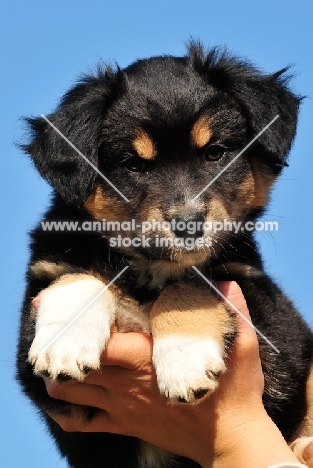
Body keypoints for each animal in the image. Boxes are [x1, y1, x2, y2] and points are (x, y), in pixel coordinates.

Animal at [16, 41, 312, 468]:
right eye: (134, 164)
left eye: (215, 153)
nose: (189, 224)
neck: (148, 269)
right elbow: (77, 275)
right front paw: (64, 347)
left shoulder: (271, 319)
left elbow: (192, 286)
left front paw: (185, 360)